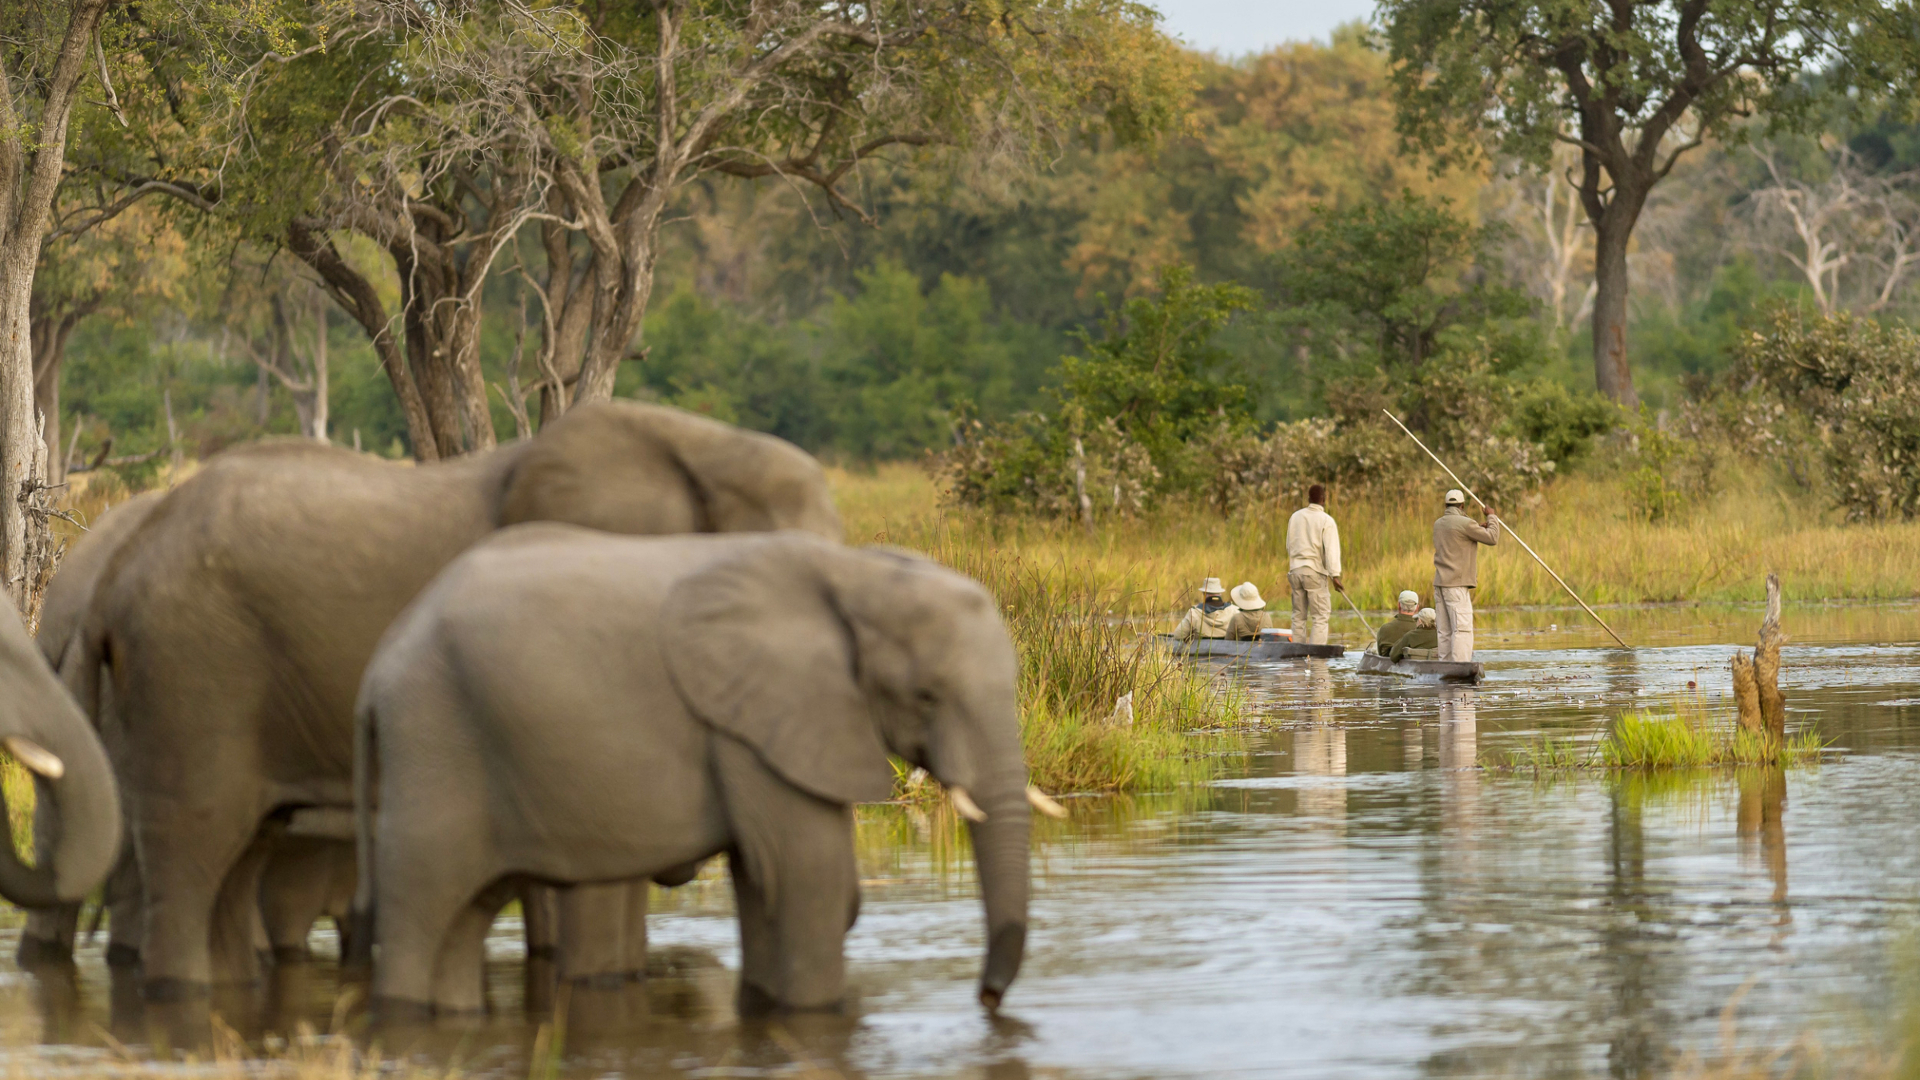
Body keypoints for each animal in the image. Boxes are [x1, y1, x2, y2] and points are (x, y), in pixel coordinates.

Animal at [355, 527, 1049, 1016]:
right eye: (927, 696)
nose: (987, 999)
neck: (854, 572)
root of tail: (379, 666)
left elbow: (763, 879)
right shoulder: (753, 720)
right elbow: (805, 876)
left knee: (462, 919)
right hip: (434, 739)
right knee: (423, 902)